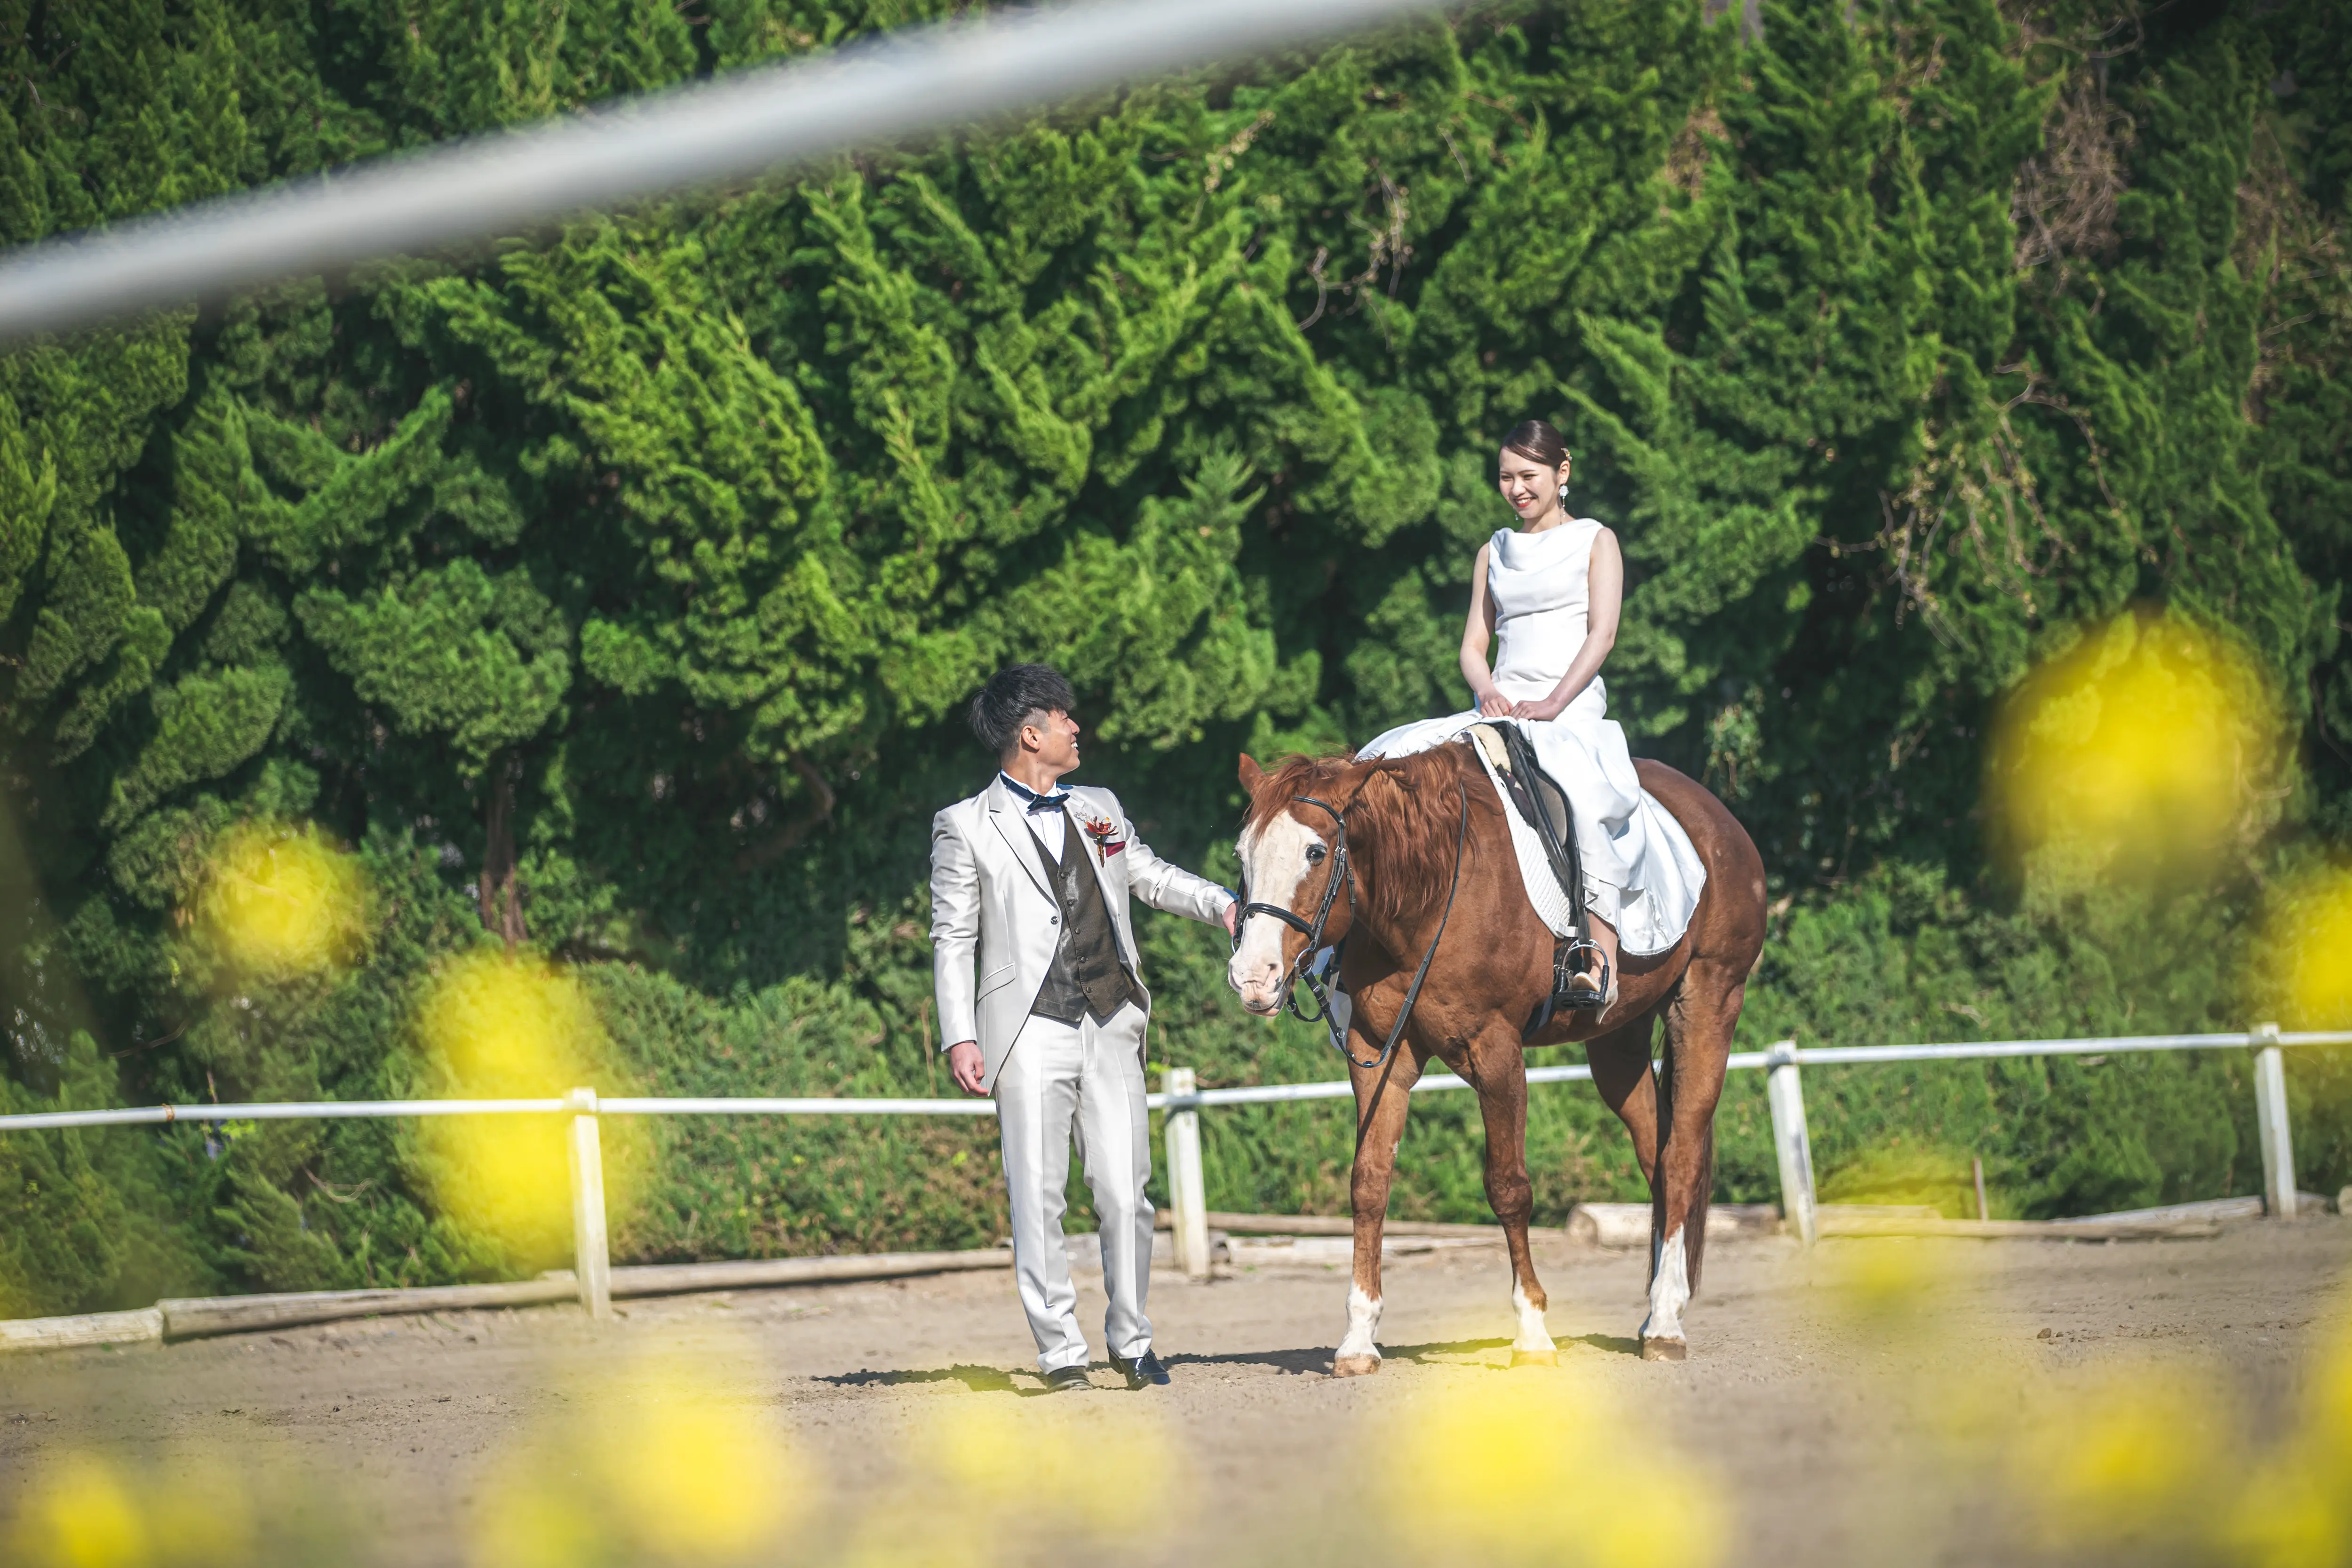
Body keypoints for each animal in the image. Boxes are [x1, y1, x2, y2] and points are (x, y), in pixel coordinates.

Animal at [1227, 742, 1766, 1369]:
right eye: (1243, 854)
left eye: (1315, 853)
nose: (1252, 977)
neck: (1430, 895)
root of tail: (1717, 819)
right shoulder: (1378, 1056)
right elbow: (1368, 1183)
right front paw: (1358, 1337)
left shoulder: (1496, 1052)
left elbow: (1508, 1188)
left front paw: (1532, 1330)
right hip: (1617, 1042)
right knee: (1655, 1155)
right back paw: (1658, 1308)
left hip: (1708, 1004)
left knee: (1680, 1158)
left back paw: (1664, 1325)